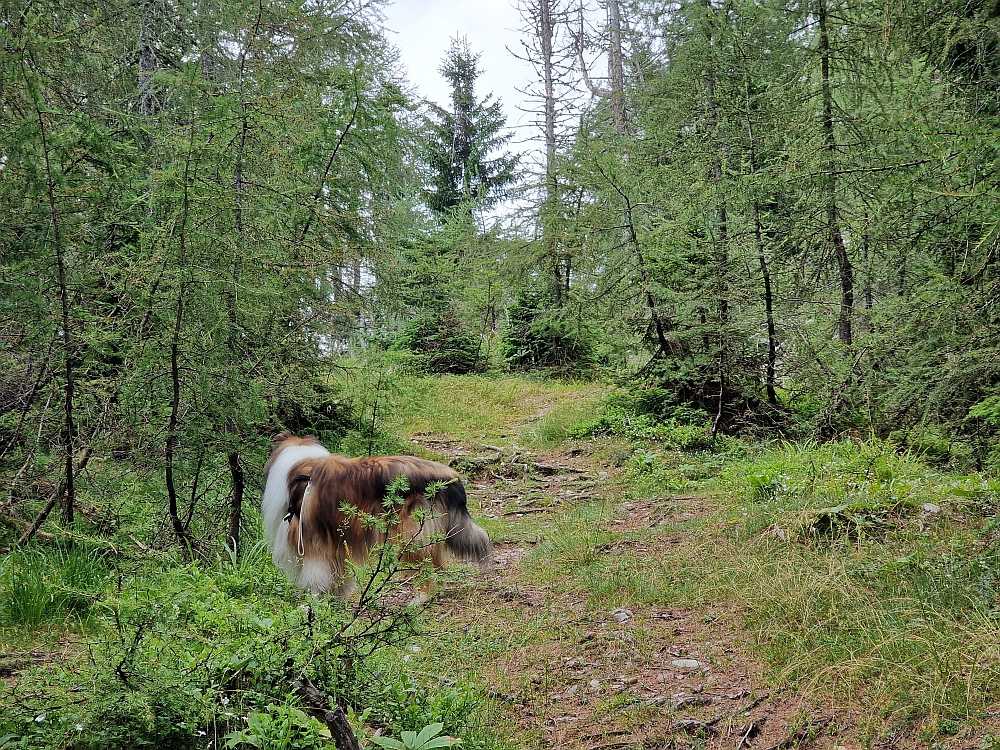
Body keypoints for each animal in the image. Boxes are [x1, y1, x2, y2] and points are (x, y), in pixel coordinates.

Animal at [260, 434, 490, 600]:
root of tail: (451, 479)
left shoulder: (312, 543)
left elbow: (316, 579)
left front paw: (313, 605)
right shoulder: (337, 542)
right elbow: (339, 576)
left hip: (410, 536)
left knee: (428, 568)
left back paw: (419, 600)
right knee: (438, 565)